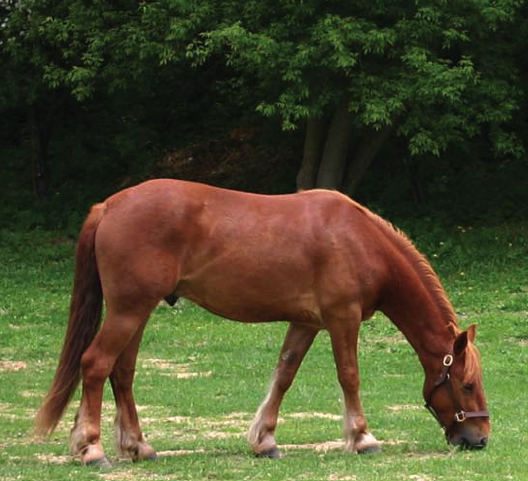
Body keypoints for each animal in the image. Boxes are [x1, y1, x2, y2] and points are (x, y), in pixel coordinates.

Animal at [34, 177, 490, 464]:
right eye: (467, 385)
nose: (481, 439)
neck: (359, 239)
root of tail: (109, 205)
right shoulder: (342, 318)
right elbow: (349, 376)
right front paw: (363, 438)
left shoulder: (307, 323)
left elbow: (284, 374)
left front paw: (264, 440)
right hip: (129, 311)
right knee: (95, 365)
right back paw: (92, 450)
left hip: (137, 311)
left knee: (122, 373)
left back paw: (137, 447)